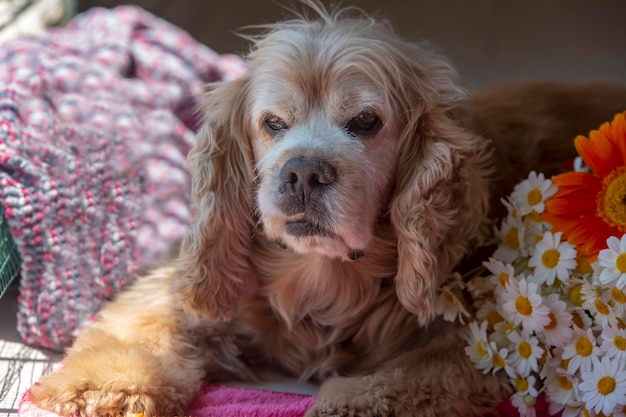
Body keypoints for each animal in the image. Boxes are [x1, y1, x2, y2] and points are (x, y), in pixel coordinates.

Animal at [29, 1, 626, 414]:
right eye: (273, 123)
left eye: (365, 121)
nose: (302, 173)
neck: (322, 280)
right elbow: (143, 322)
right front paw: (102, 384)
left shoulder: (481, 332)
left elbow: (414, 374)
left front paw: (347, 401)